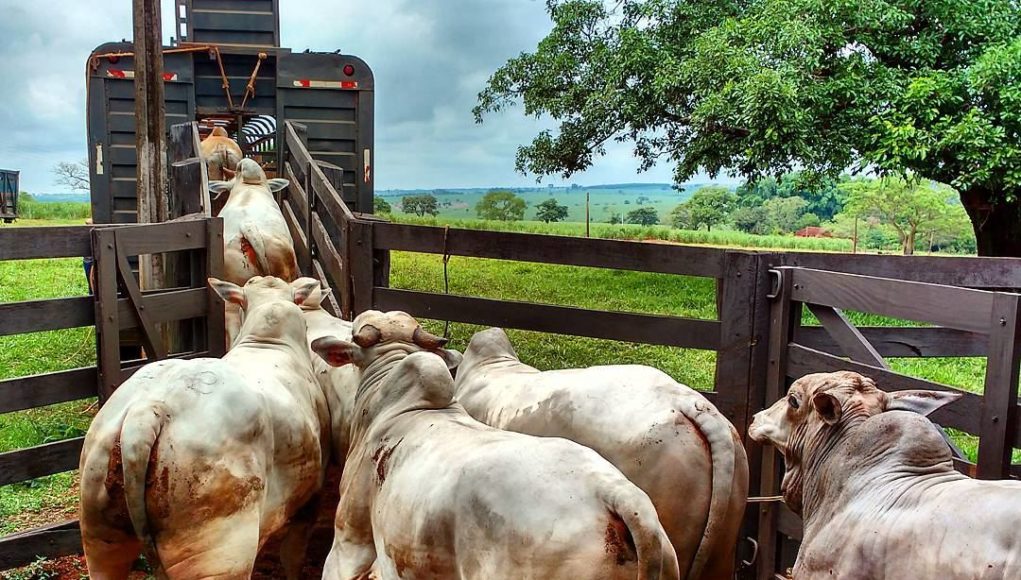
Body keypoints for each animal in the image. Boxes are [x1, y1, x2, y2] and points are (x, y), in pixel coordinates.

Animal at [79, 275, 326, 580]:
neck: (269, 344)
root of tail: (148, 410)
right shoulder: (311, 497)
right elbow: (293, 558)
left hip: (99, 532)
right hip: (219, 551)